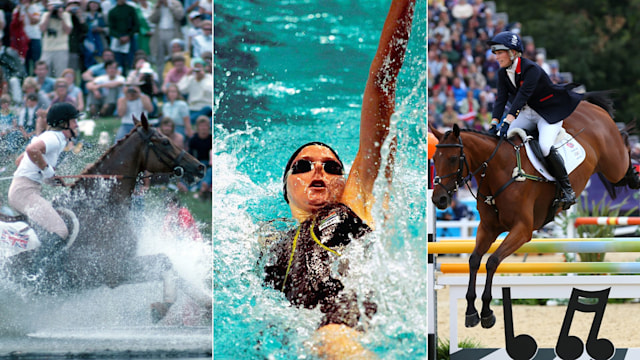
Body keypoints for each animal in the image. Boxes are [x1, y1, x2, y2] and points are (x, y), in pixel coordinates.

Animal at [428, 92, 640, 330]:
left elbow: (492, 262)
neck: (498, 171)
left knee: (624, 150)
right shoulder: (488, 228)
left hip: (613, 164)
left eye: (453, 159)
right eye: (434, 159)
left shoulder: (522, 230)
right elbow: (474, 260)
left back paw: (634, 172)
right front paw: (471, 312)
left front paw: (487, 313)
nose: (439, 199)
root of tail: (589, 105)